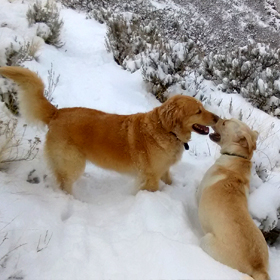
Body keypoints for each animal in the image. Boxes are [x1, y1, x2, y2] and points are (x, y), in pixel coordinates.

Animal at [0, 66, 219, 195]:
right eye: (198, 111)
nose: (217, 118)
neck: (166, 130)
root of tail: (57, 112)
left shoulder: (164, 169)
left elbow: (169, 180)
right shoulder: (150, 177)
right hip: (73, 163)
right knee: (64, 184)